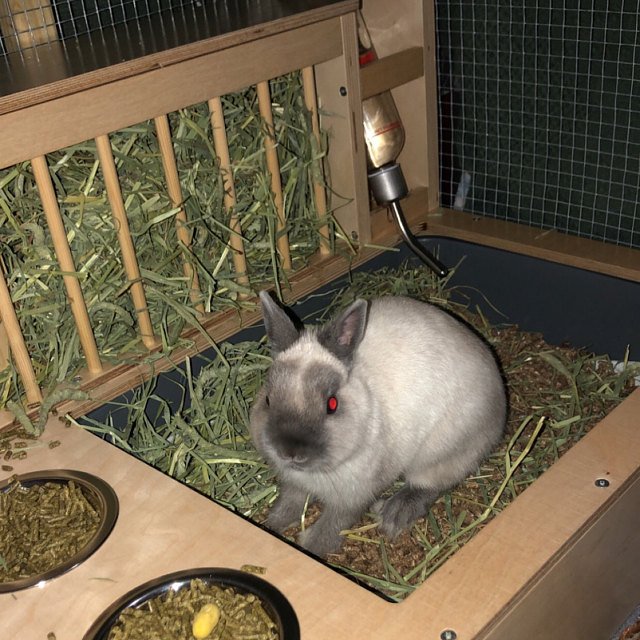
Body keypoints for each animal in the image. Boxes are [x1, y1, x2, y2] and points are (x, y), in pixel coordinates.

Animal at [249, 291, 507, 557]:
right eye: (268, 399)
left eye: (332, 404)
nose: (289, 452)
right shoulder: (294, 483)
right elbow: (290, 502)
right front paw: (273, 524)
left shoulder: (355, 496)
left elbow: (335, 522)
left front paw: (312, 546)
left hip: (443, 453)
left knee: (429, 484)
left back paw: (394, 514)